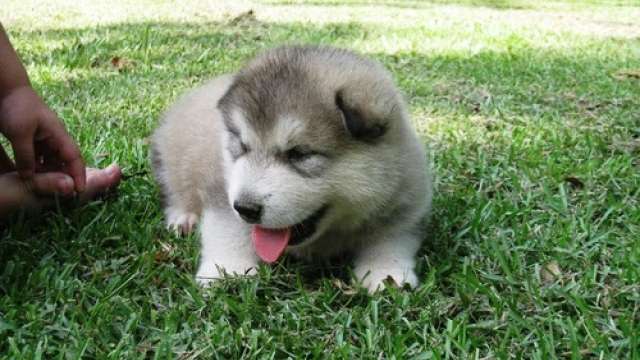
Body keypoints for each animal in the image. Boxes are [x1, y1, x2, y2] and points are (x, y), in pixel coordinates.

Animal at [151, 45, 432, 292]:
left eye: (299, 154)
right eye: (242, 146)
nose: (246, 209)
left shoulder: (402, 203)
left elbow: (390, 238)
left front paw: (388, 274)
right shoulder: (221, 186)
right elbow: (226, 227)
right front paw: (228, 271)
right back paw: (183, 217)